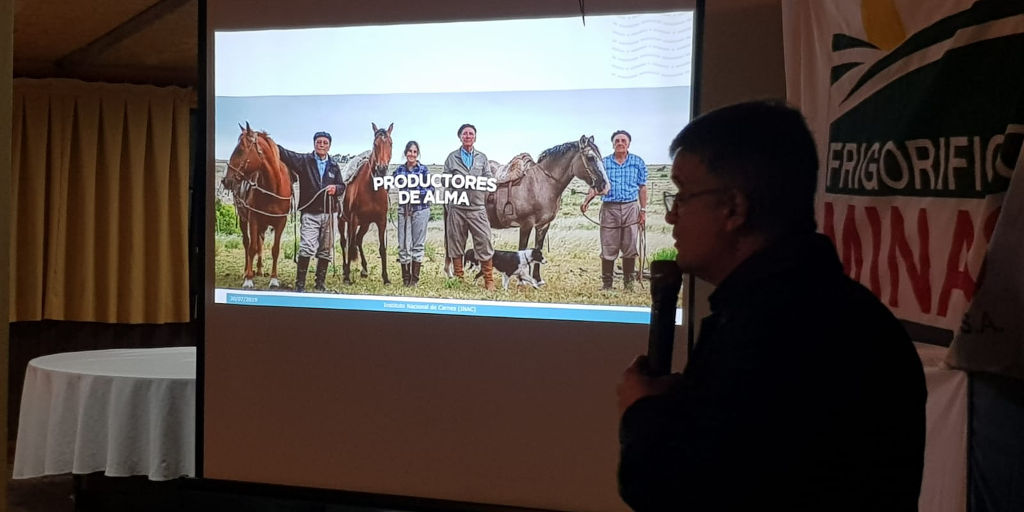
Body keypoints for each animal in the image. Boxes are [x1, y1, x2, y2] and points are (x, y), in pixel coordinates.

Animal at [222, 120, 290, 288]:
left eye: (240, 150)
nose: (226, 180)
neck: (273, 187)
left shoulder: (281, 222)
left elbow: (275, 249)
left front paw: (274, 279)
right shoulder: (253, 220)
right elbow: (252, 247)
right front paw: (248, 279)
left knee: (261, 241)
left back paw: (259, 269)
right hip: (243, 219)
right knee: (247, 243)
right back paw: (247, 271)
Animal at [342, 122, 393, 286]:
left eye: (390, 143)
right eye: (375, 144)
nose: (381, 169)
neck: (372, 189)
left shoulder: (381, 221)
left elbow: (382, 248)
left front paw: (386, 277)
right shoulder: (353, 219)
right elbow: (350, 246)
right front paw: (347, 276)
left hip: (364, 224)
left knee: (358, 240)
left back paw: (364, 269)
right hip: (342, 220)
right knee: (345, 242)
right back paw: (345, 270)